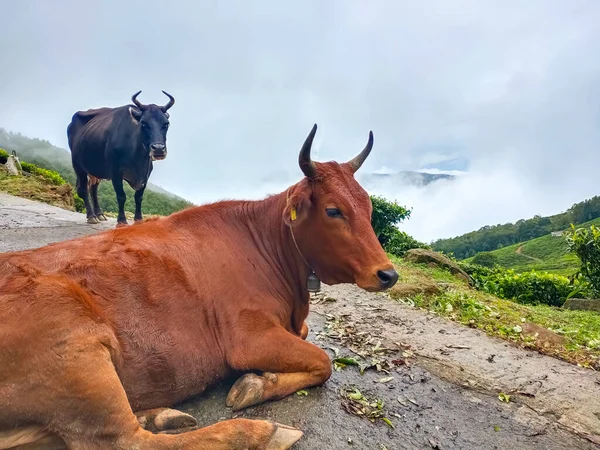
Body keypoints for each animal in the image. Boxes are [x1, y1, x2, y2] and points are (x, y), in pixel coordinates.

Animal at [0, 124, 398, 450]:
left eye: (368, 209)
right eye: (334, 211)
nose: (388, 274)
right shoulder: (248, 337)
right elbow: (324, 361)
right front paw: (256, 385)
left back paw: (159, 414)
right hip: (77, 347)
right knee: (124, 441)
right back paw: (255, 433)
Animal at [69, 90, 176, 227]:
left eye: (166, 124)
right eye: (143, 123)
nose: (158, 149)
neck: (138, 159)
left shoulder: (146, 173)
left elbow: (139, 196)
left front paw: (139, 219)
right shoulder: (115, 171)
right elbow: (121, 196)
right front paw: (121, 221)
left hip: (95, 169)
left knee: (93, 189)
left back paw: (100, 214)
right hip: (77, 164)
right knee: (83, 189)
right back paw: (92, 216)